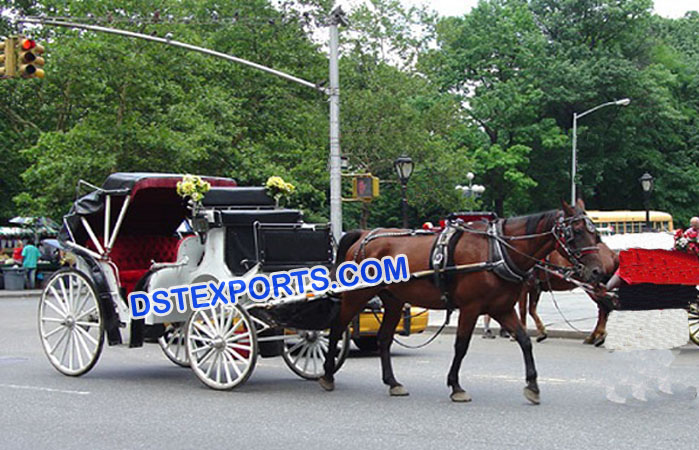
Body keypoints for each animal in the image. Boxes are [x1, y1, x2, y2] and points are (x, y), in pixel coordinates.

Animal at [320, 200, 604, 404]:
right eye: (577, 232)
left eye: (596, 234)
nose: (598, 272)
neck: (497, 251)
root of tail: (364, 235)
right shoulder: (471, 308)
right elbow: (461, 346)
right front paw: (456, 386)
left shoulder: (501, 308)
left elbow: (524, 340)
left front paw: (532, 385)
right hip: (357, 295)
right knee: (335, 329)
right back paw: (327, 374)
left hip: (394, 300)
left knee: (384, 339)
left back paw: (392, 382)